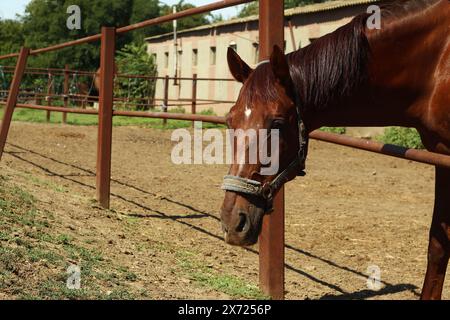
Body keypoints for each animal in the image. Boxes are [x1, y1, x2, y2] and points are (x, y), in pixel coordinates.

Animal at [222, 0, 450, 300]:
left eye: (278, 123)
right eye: (230, 120)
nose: (232, 223)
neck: (435, 64)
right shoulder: (440, 155)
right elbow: (437, 246)